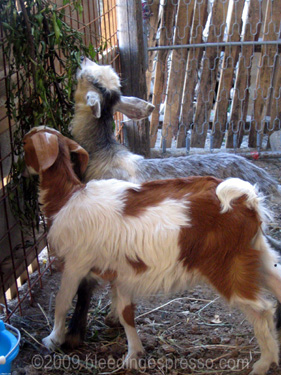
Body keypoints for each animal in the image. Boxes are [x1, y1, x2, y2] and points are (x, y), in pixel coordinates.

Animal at [23, 127, 280, 375]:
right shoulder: (122, 272)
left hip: (226, 268)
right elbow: (126, 312)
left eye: (26, 143)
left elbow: (62, 301)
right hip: (253, 254)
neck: (67, 198)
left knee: (262, 310)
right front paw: (133, 354)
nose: (22, 170)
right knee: (276, 283)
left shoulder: (75, 264)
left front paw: (52, 339)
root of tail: (247, 202)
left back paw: (263, 363)